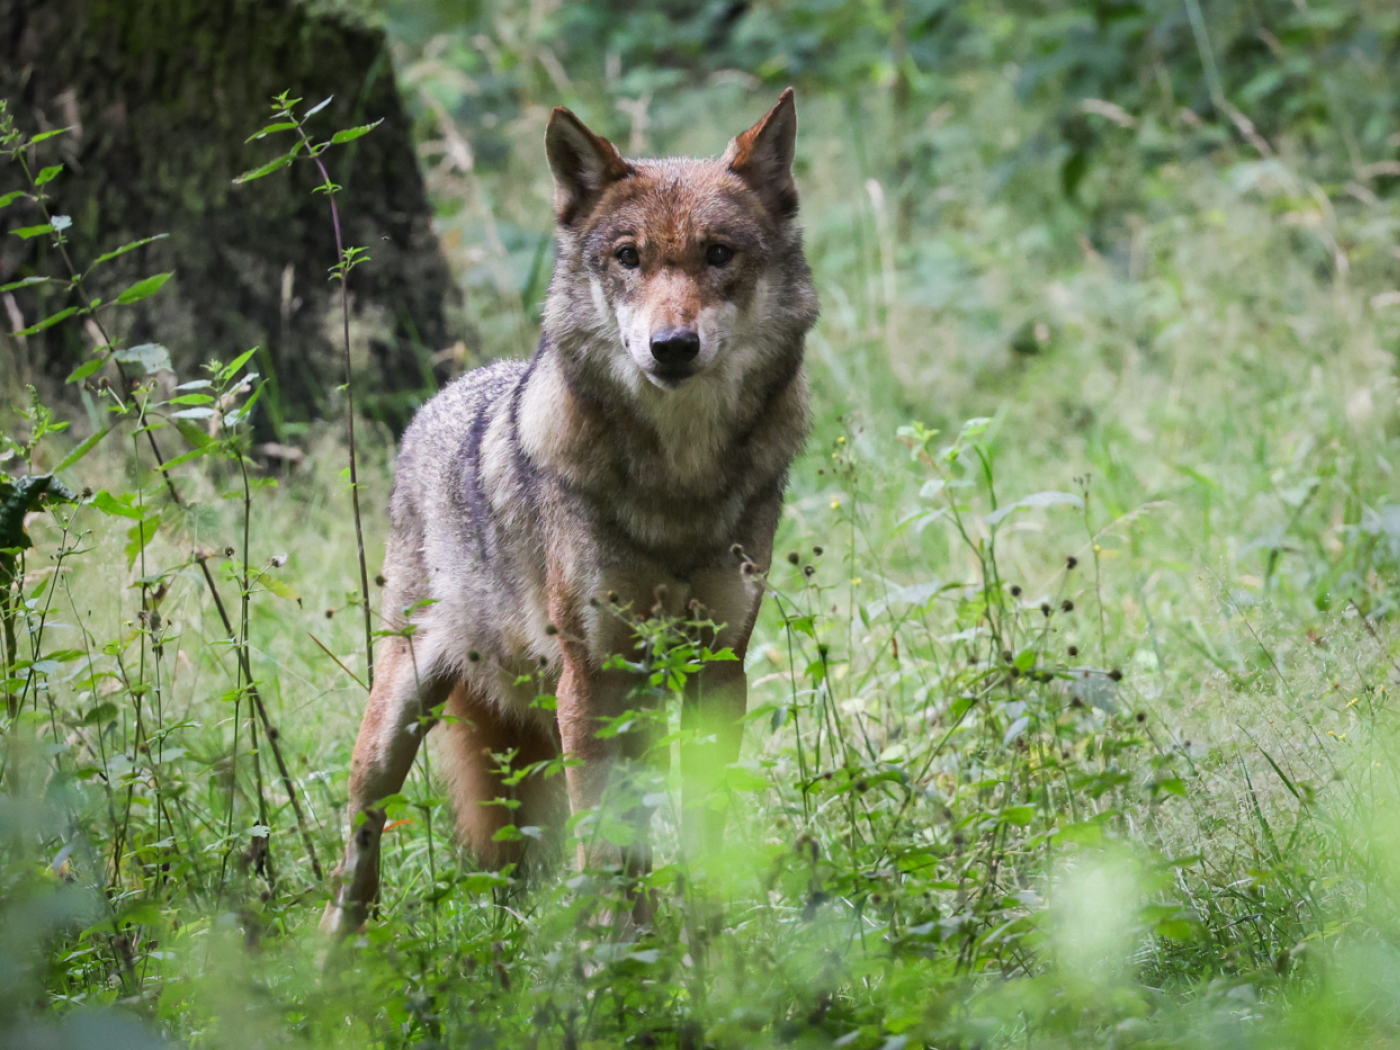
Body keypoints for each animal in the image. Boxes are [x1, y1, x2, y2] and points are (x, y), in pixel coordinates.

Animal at [321, 89, 818, 935]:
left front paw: (705, 946)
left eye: (719, 254)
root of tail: (438, 402)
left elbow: (701, 830)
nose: (672, 346)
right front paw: (614, 955)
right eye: (628, 257)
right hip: (398, 719)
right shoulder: (591, 677)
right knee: (357, 845)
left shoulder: (719, 669)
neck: (678, 484)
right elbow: (604, 843)